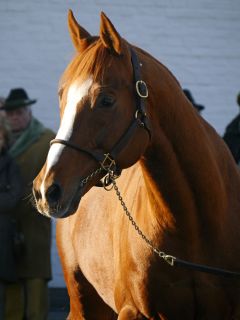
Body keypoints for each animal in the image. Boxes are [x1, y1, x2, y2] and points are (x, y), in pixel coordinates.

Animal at [32, 10, 240, 320]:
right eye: (62, 96)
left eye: (106, 99)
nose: (46, 189)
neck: (193, 226)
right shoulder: (134, 311)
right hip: (84, 304)